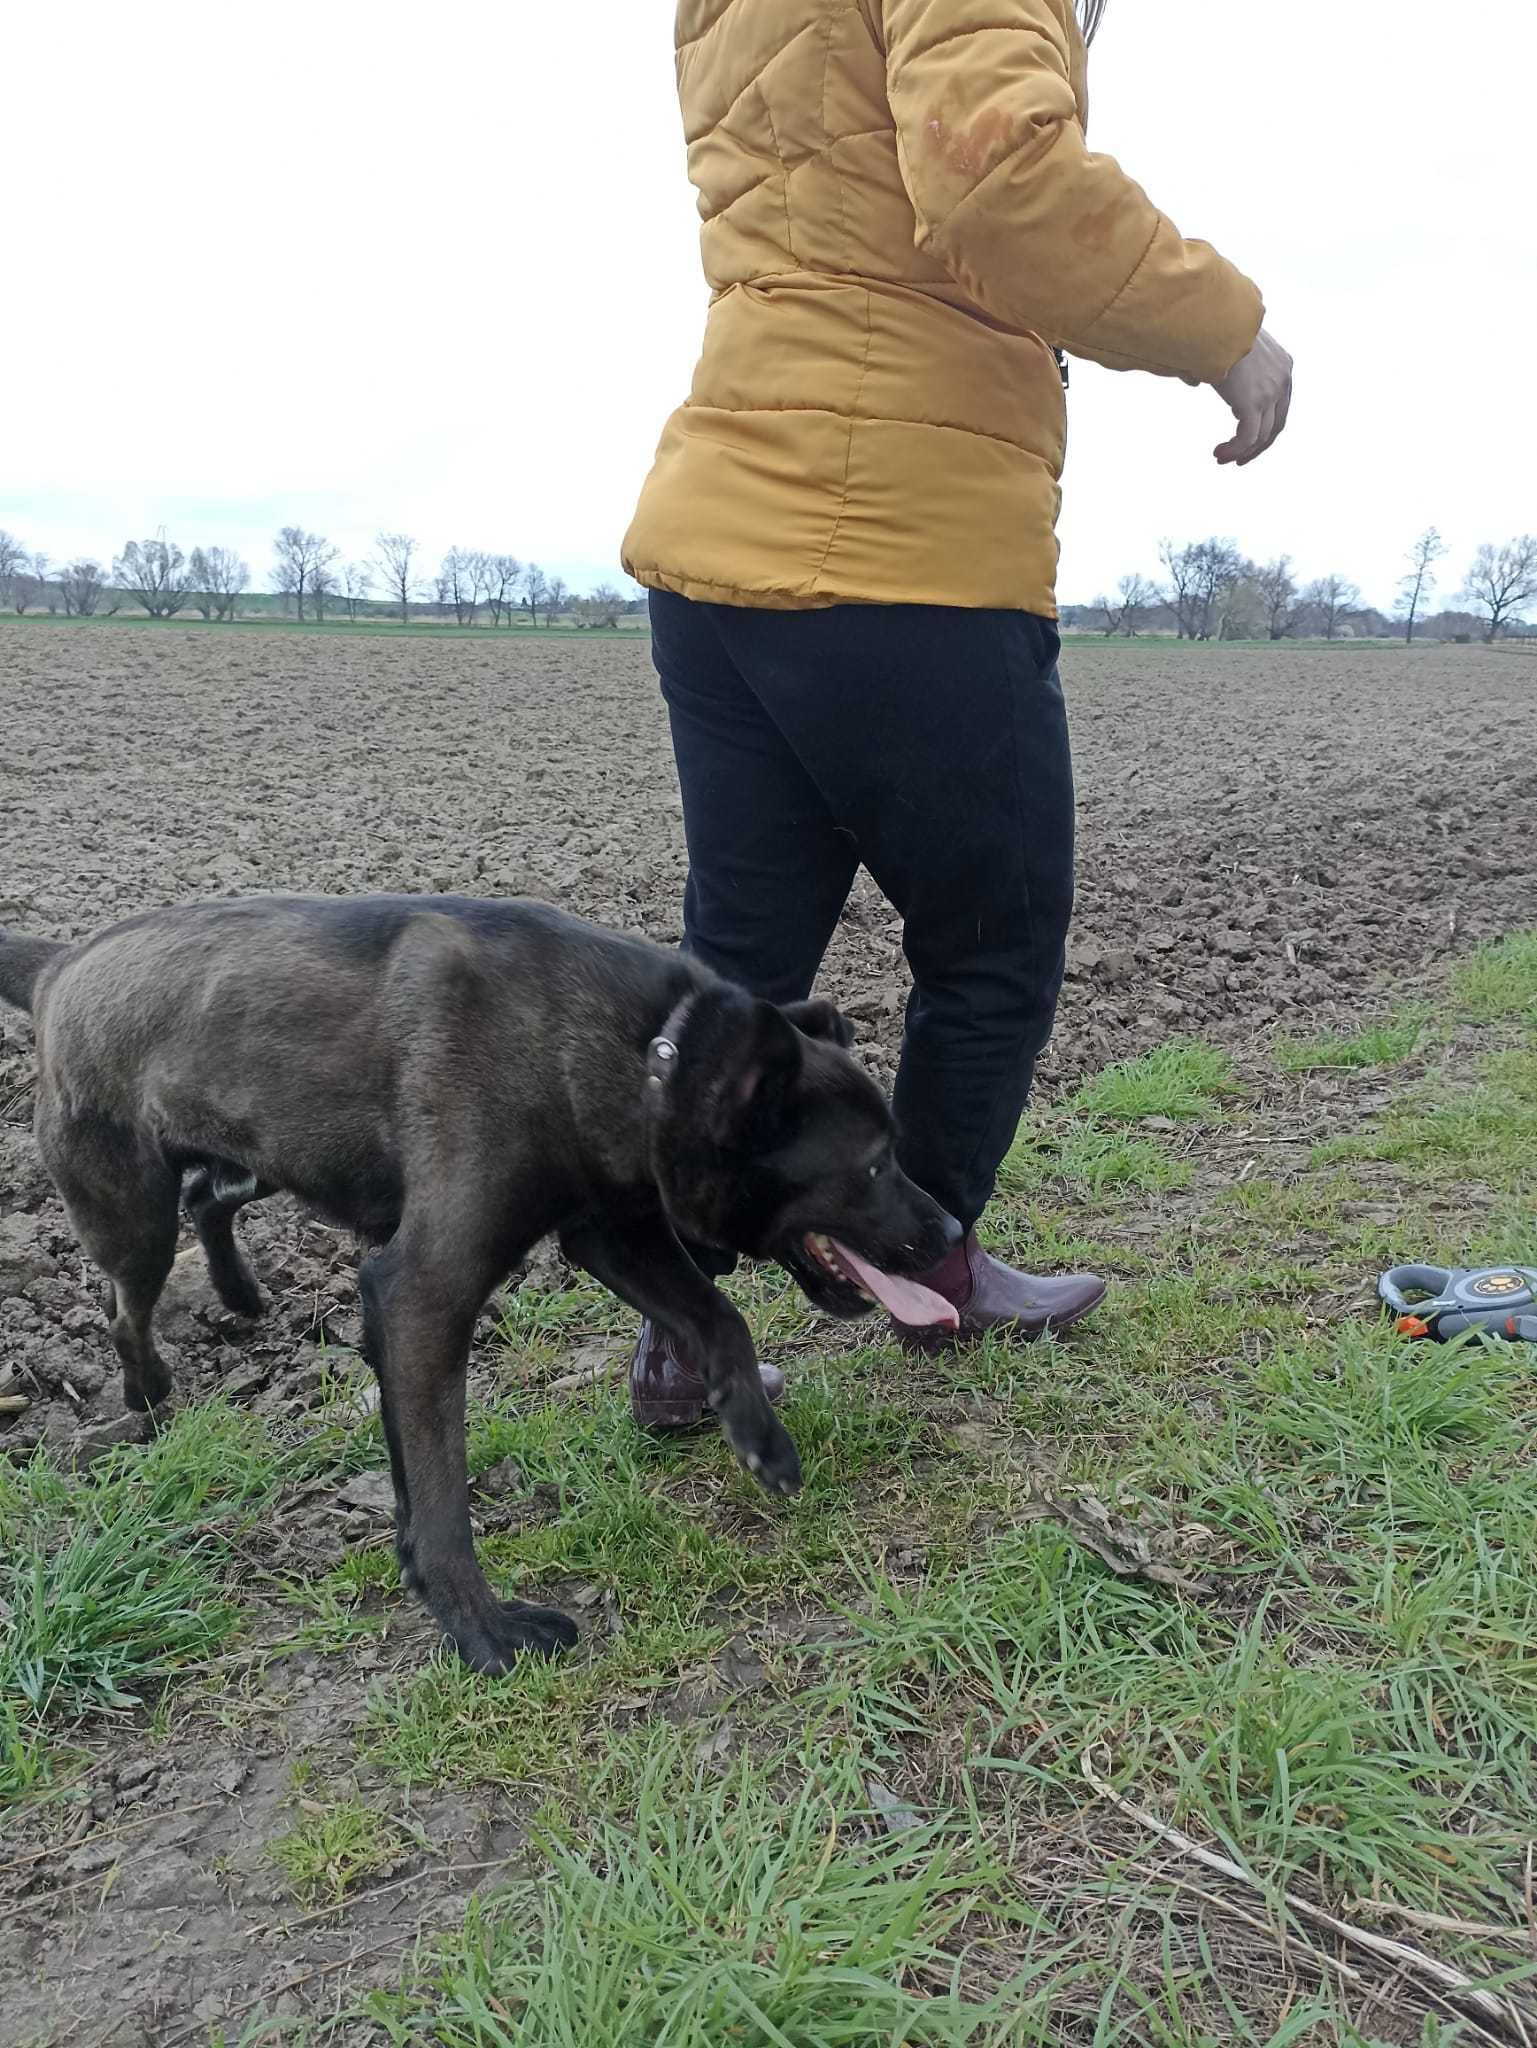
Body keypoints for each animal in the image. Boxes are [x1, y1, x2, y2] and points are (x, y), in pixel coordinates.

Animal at [0, 905, 959, 1671]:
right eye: (873, 1166)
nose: (952, 1231)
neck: (651, 1054)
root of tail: (57, 965)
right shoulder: (423, 1298)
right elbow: (439, 1495)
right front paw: (483, 1633)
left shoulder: (610, 1232)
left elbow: (718, 1317)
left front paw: (759, 1438)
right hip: (132, 1214)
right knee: (123, 1305)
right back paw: (148, 1392)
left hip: (268, 1155)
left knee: (209, 1195)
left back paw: (239, 1297)